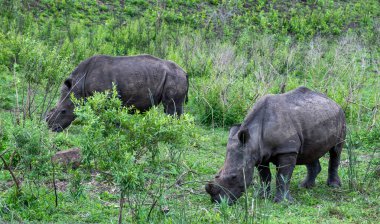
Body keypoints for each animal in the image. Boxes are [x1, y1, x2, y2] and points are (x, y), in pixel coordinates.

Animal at [46, 54, 189, 131]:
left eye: (63, 111)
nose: (51, 127)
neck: (78, 86)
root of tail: (185, 72)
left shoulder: (105, 98)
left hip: (175, 77)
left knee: (171, 108)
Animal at [206, 86, 346, 204]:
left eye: (234, 177)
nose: (217, 201)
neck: (253, 138)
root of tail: (333, 101)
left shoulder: (287, 150)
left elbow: (283, 176)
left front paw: (283, 202)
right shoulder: (259, 154)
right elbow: (265, 176)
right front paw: (262, 197)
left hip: (341, 116)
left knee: (336, 150)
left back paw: (333, 185)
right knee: (310, 151)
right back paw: (305, 186)